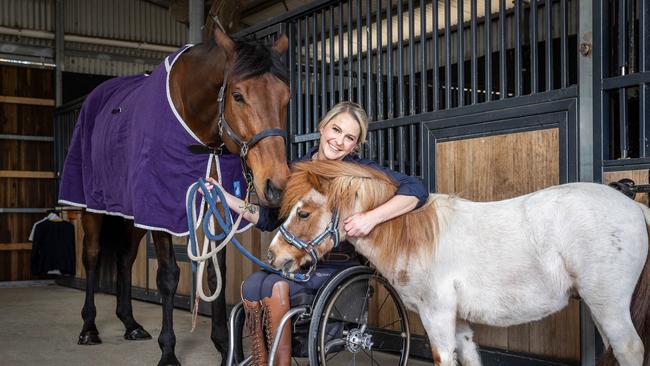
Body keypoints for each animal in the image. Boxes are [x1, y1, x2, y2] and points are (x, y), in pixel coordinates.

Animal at [59, 27, 290, 364]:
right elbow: (168, 276)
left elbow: (215, 275)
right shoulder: (161, 209)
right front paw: (168, 351)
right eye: (238, 95)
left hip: (132, 214)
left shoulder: (215, 205)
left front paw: (226, 348)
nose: (276, 185)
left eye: (285, 98)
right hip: (93, 209)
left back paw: (130, 324)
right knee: (92, 256)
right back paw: (89, 328)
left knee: (125, 259)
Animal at [266, 162, 648, 366]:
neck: (415, 237)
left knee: (630, 350)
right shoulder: (460, 321)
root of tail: (634, 207)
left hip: (608, 306)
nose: (273, 256)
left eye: (303, 213)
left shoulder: (437, 316)